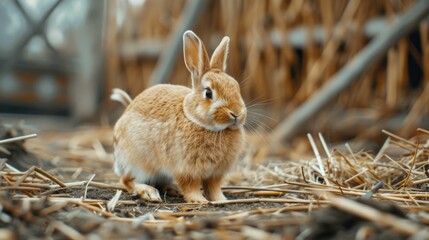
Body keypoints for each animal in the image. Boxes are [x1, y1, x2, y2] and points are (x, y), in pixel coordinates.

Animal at [112, 30, 246, 202]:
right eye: (208, 93)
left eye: (236, 88)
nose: (237, 113)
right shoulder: (185, 169)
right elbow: (191, 186)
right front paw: (199, 200)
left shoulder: (215, 174)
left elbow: (214, 188)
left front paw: (220, 200)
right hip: (137, 164)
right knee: (127, 180)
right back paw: (149, 192)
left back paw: (172, 189)